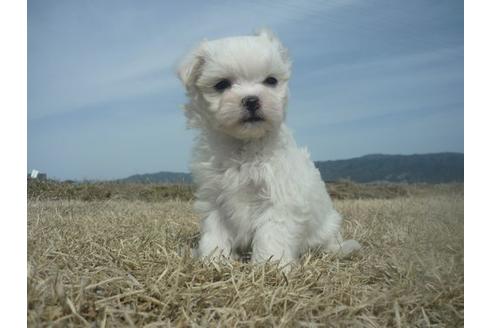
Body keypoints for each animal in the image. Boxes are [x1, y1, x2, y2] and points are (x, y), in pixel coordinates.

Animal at [178, 29, 362, 268]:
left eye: (271, 81)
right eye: (221, 84)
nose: (251, 100)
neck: (244, 145)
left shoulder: (279, 198)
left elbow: (272, 235)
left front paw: (269, 266)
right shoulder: (215, 199)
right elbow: (215, 232)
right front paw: (214, 260)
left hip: (327, 229)